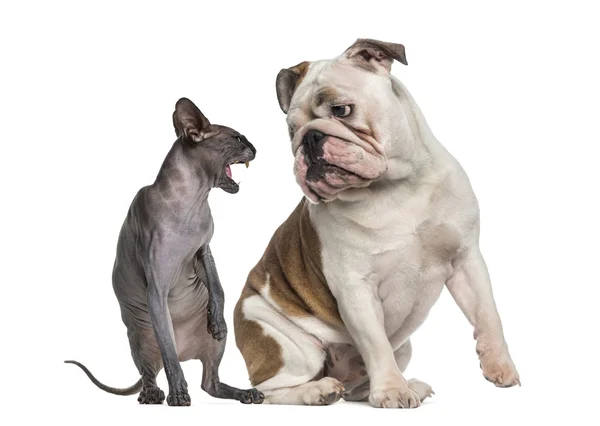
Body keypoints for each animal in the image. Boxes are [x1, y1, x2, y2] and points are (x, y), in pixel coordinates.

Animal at [64, 96, 264, 406]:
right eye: (237, 138)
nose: (255, 148)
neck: (194, 200)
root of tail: (186, 351)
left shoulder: (203, 250)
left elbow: (218, 287)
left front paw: (217, 322)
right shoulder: (156, 287)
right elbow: (169, 355)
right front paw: (179, 393)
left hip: (214, 346)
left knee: (210, 383)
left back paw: (246, 392)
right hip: (142, 334)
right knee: (157, 366)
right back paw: (153, 394)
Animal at [234, 40, 520, 410]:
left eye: (341, 110)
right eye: (291, 131)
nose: (308, 138)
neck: (395, 187)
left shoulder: (466, 259)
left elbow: (487, 315)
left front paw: (500, 364)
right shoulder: (355, 286)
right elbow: (376, 344)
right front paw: (393, 392)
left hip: (404, 348)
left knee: (357, 387)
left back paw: (406, 385)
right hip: (288, 344)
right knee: (268, 390)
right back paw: (318, 391)